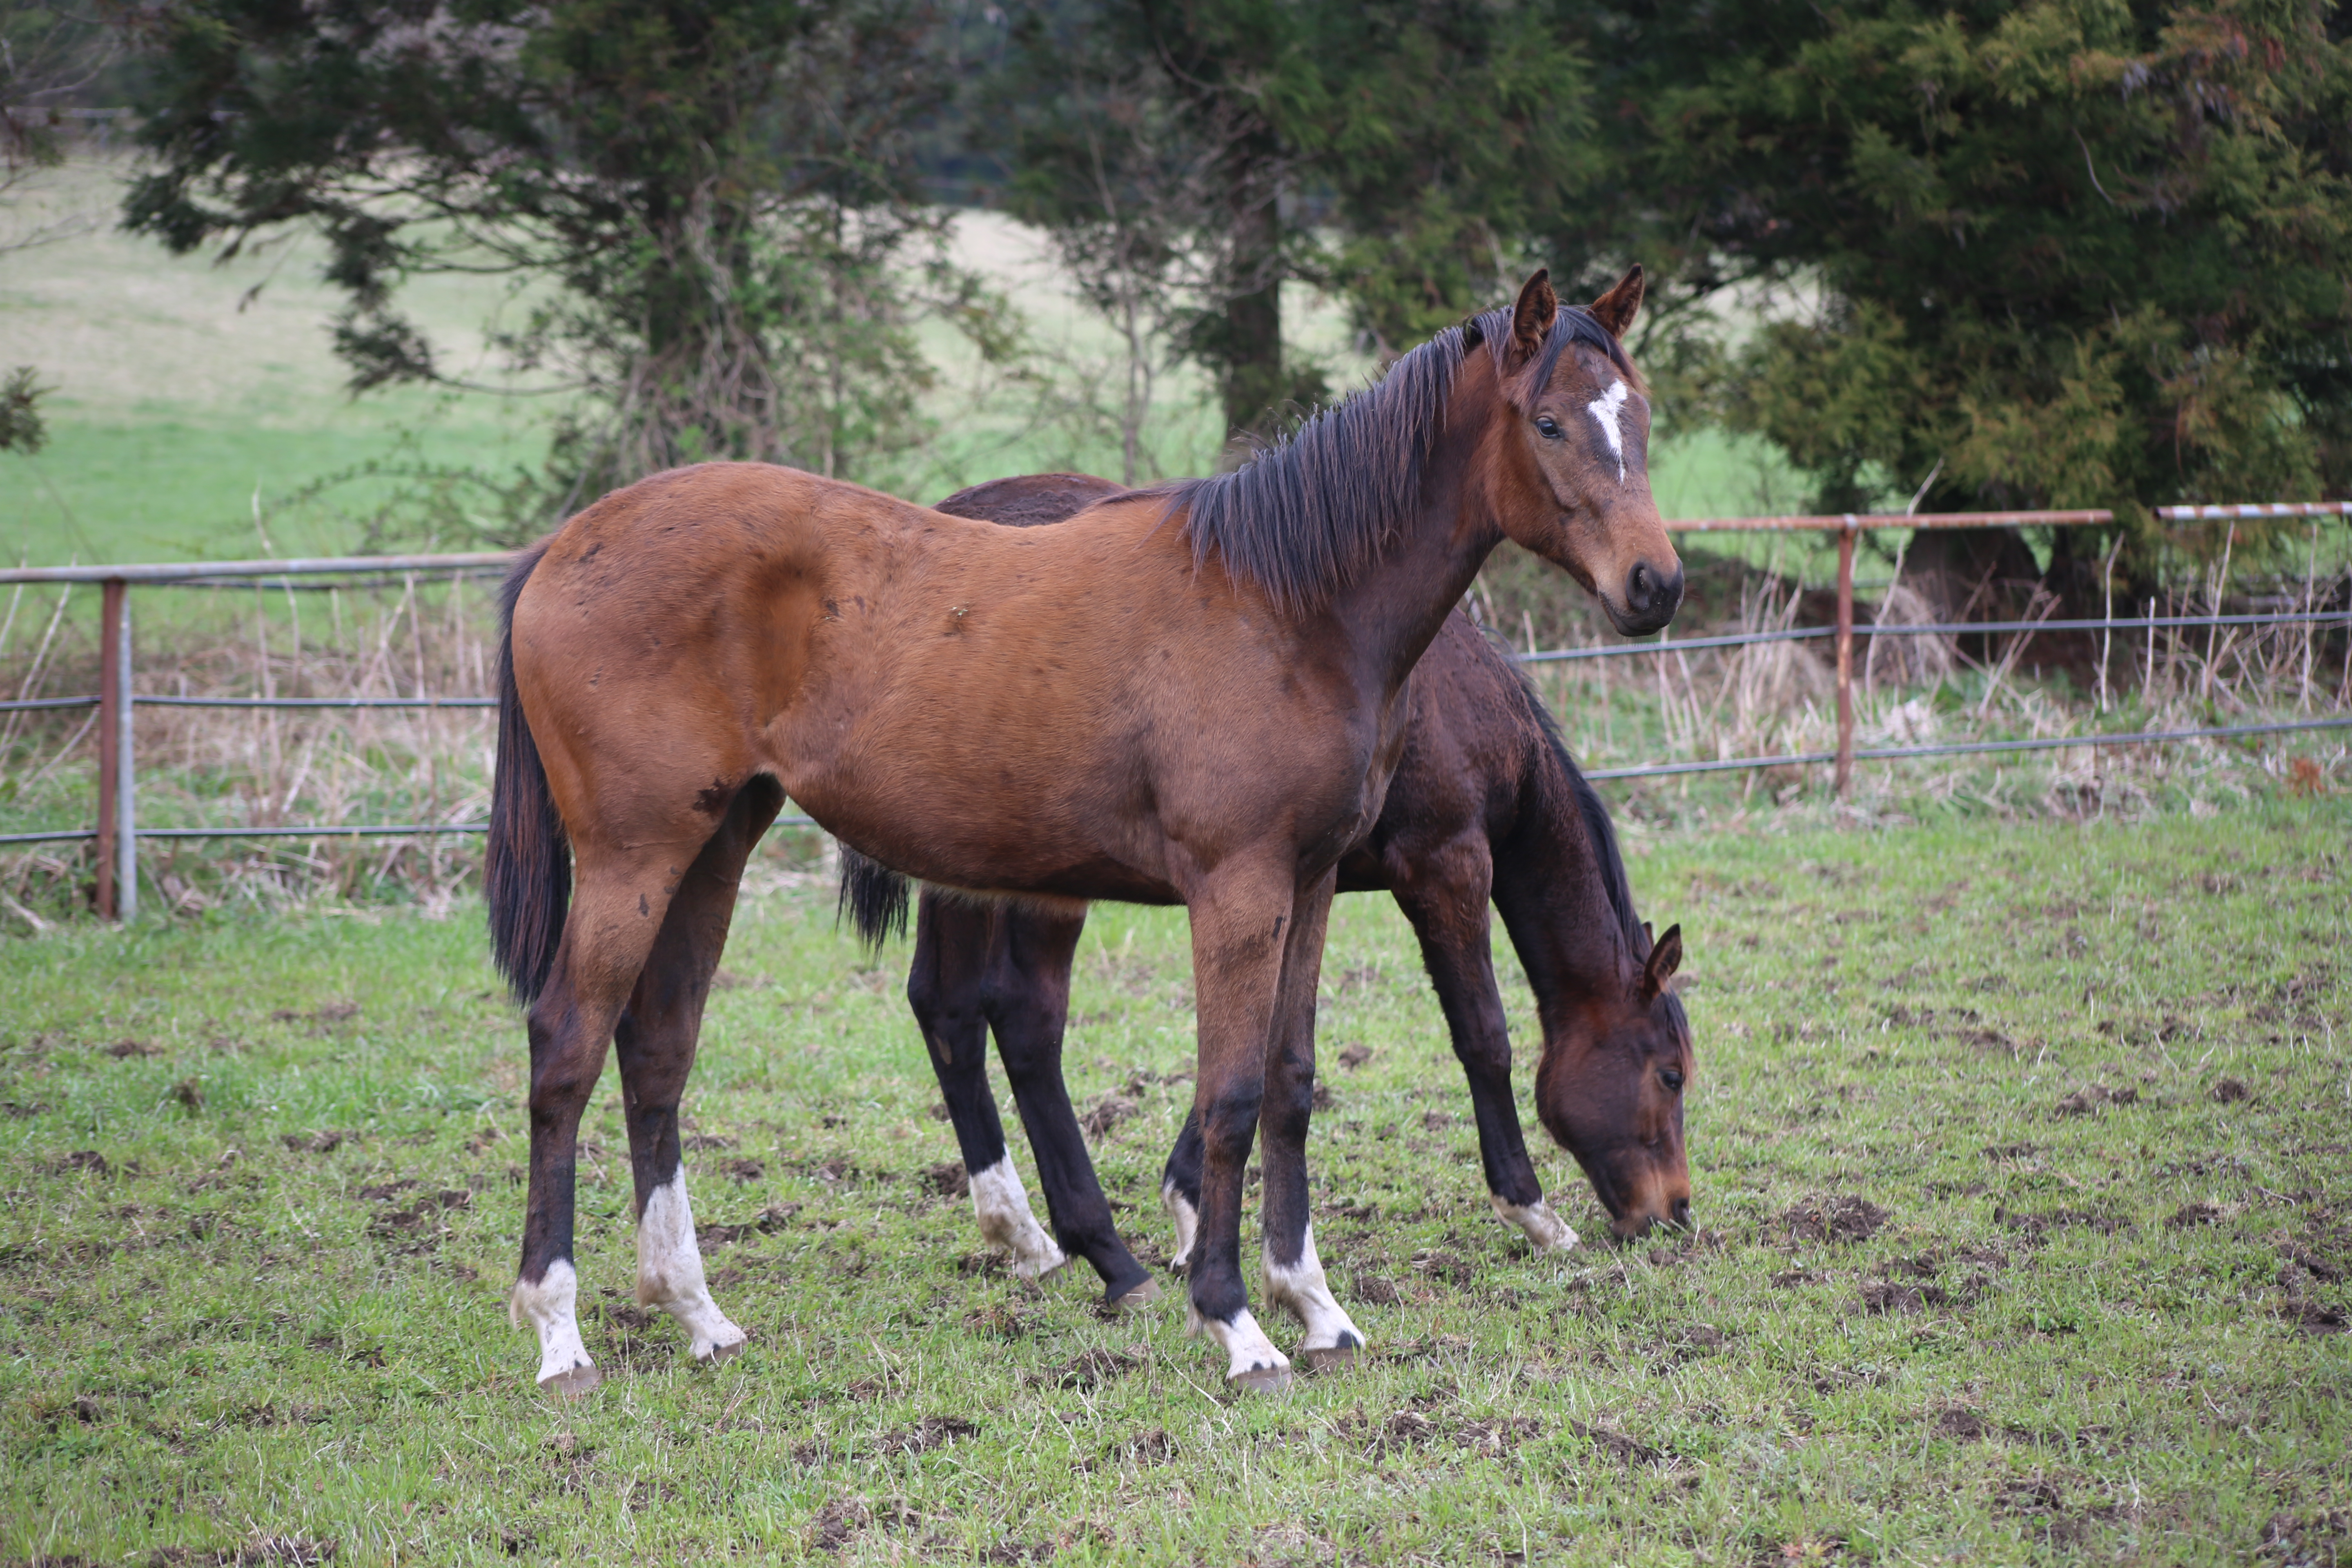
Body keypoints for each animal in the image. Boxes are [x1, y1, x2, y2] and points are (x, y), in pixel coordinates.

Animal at [856, 470, 1703, 1316]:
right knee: (1023, 1019)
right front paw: (1533, 1212)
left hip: (972, 871)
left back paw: (1029, 1237)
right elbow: (1483, 1037)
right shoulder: (1448, 865)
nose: (1674, 1212)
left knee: (947, 1008)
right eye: (1670, 1074)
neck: (1471, 708)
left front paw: (1191, 1208)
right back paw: (1085, 1246)